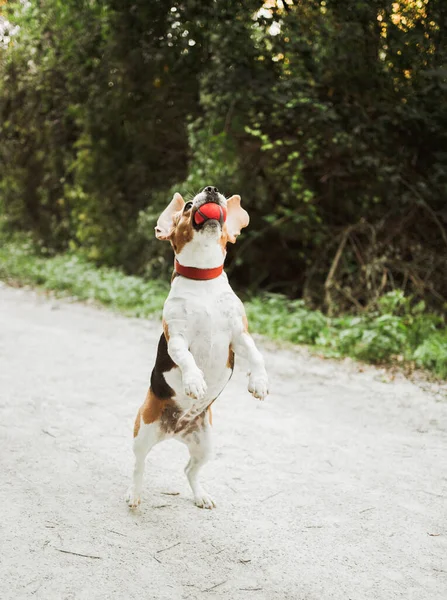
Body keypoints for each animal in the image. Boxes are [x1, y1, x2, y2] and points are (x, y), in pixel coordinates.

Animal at [126, 185, 270, 508]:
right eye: (189, 205)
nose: (212, 190)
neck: (203, 282)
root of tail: (175, 430)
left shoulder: (238, 335)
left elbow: (256, 355)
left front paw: (259, 382)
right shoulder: (177, 336)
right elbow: (185, 358)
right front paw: (194, 381)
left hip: (205, 443)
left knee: (189, 469)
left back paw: (201, 495)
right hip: (143, 430)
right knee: (139, 465)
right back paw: (134, 493)